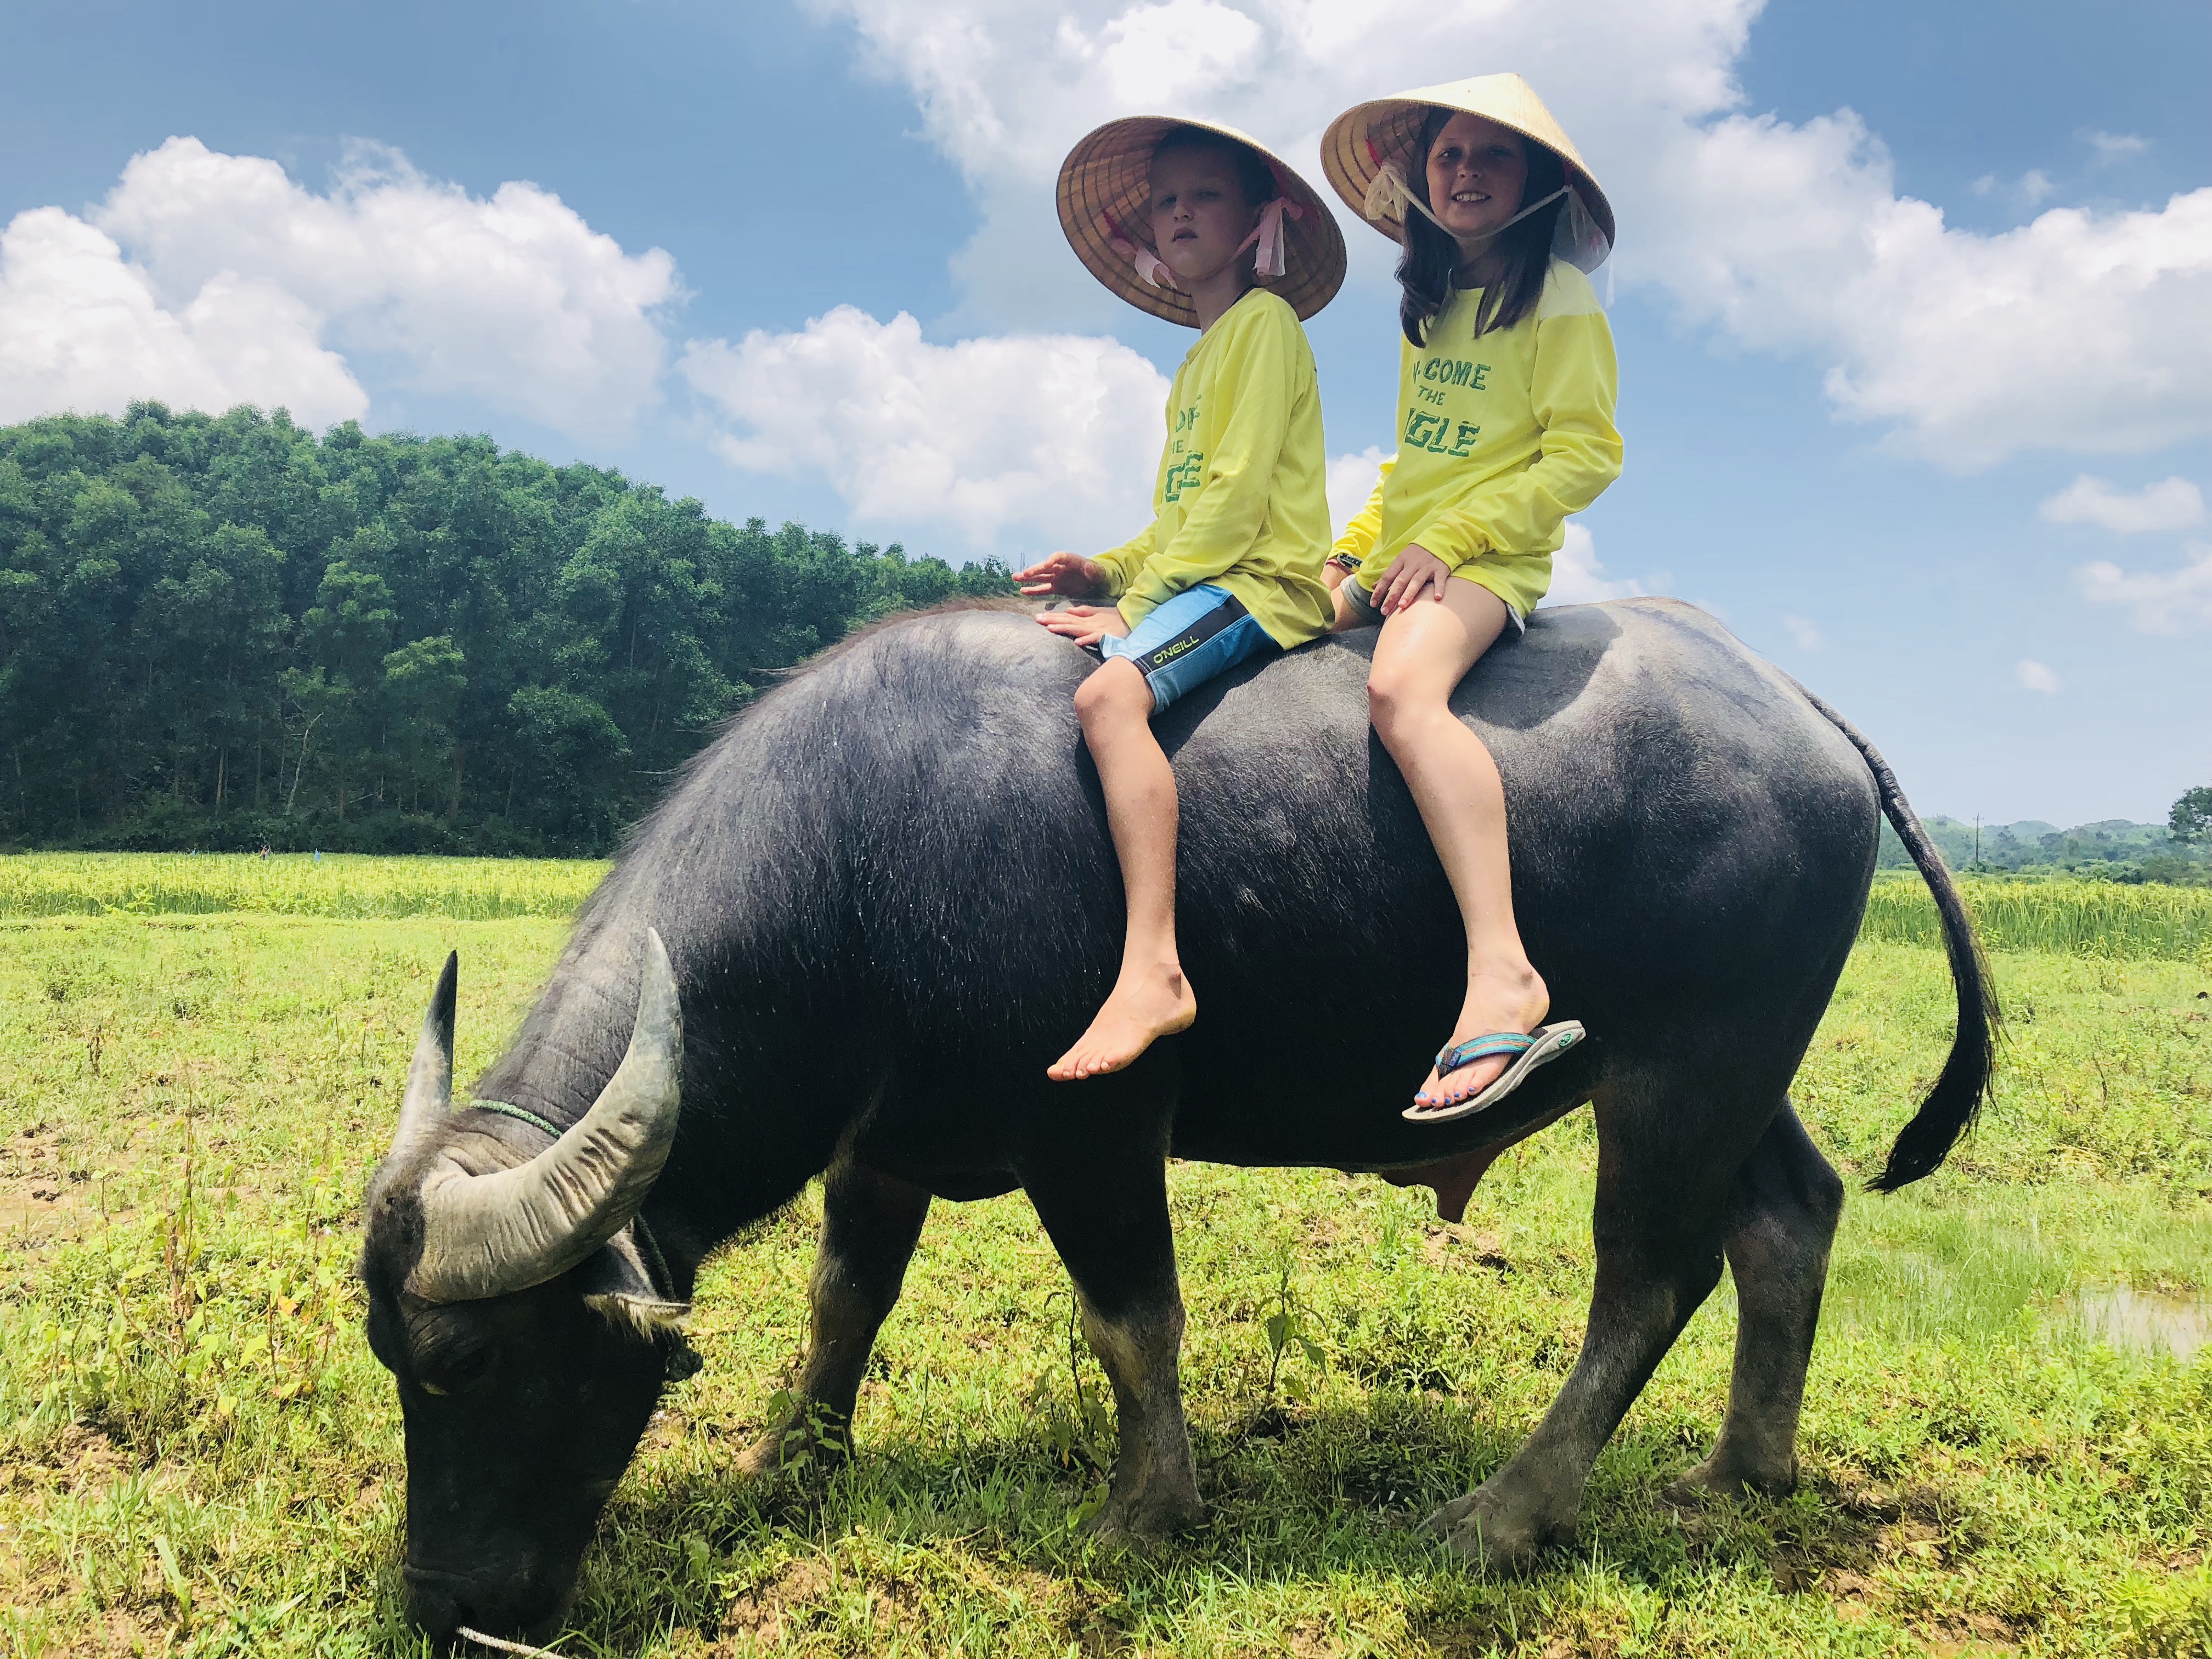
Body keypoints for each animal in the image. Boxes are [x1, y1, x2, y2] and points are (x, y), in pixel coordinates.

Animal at [359, 596, 1993, 1642]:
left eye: (469, 1365)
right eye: (392, 1362)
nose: (445, 1609)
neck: (862, 859)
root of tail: (1807, 714)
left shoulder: (1091, 1131)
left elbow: (1130, 1316)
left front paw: (1145, 1512)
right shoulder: (882, 1144)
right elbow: (844, 1304)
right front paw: (790, 1463)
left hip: (1681, 1074)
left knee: (1648, 1281)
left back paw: (1504, 1514)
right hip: (1732, 1074)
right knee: (1790, 1220)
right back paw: (1743, 1474)